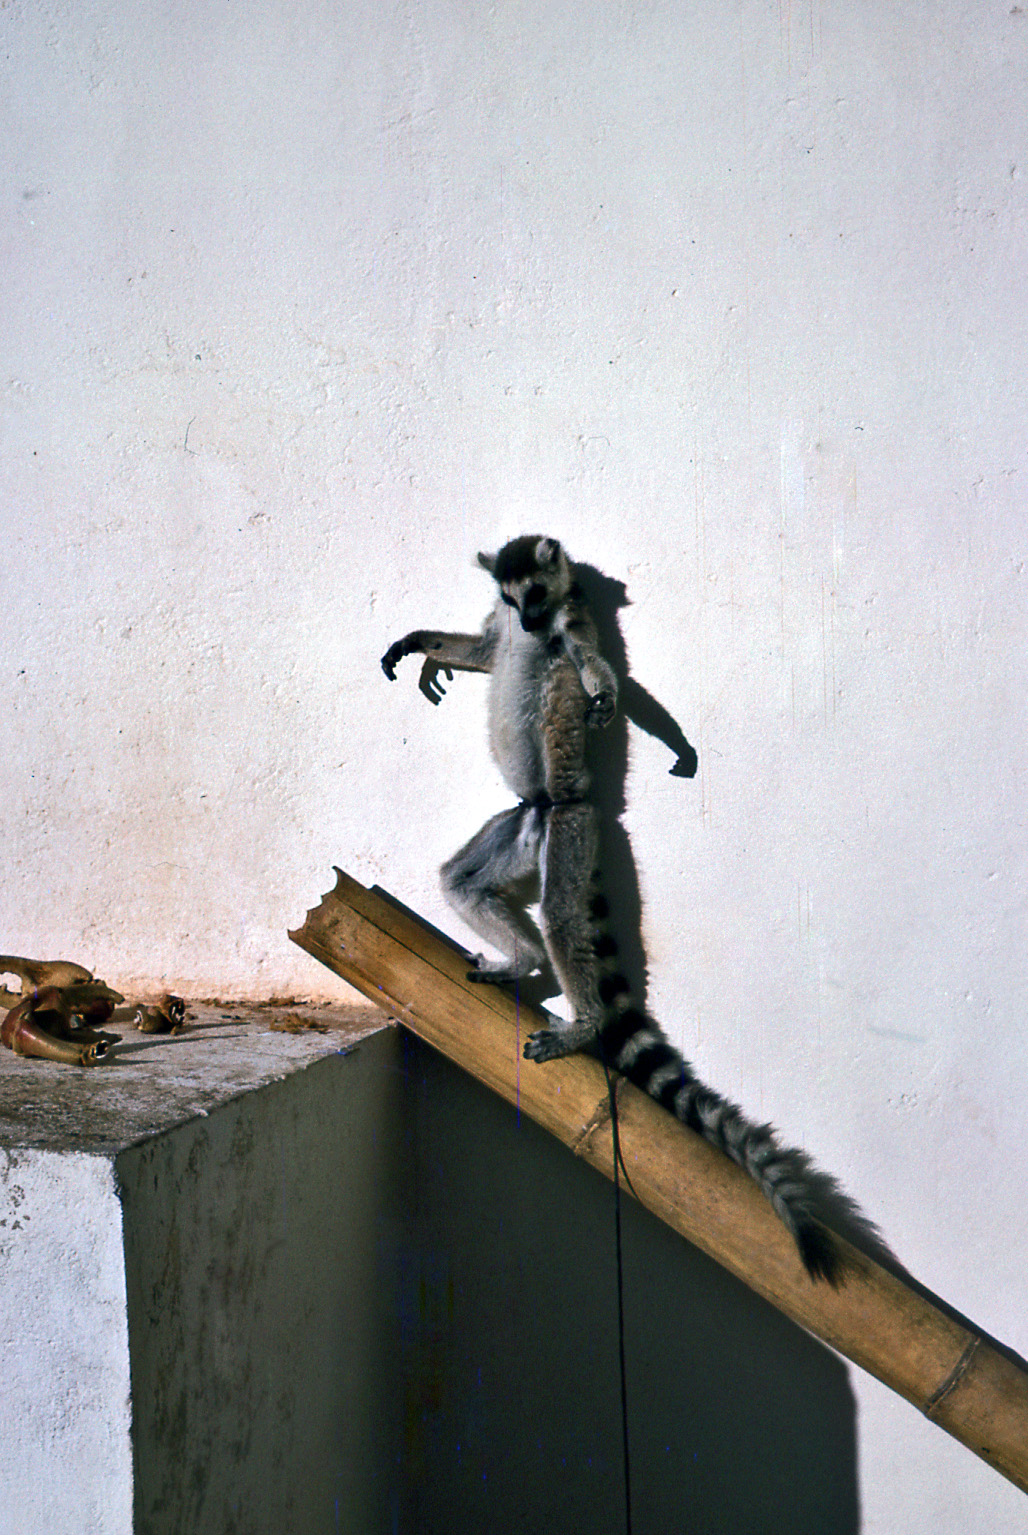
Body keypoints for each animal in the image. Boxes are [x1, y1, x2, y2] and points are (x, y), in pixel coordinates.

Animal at [381, 535, 850, 1281]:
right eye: (511, 598)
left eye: (536, 596)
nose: (530, 624)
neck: (536, 622)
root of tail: (554, 810)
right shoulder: (505, 626)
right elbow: (484, 650)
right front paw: (421, 646)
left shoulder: (574, 620)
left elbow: (594, 664)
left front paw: (612, 702)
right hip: (522, 828)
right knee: (463, 882)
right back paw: (523, 962)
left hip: (568, 836)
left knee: (562, 918)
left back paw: (583, 1023)